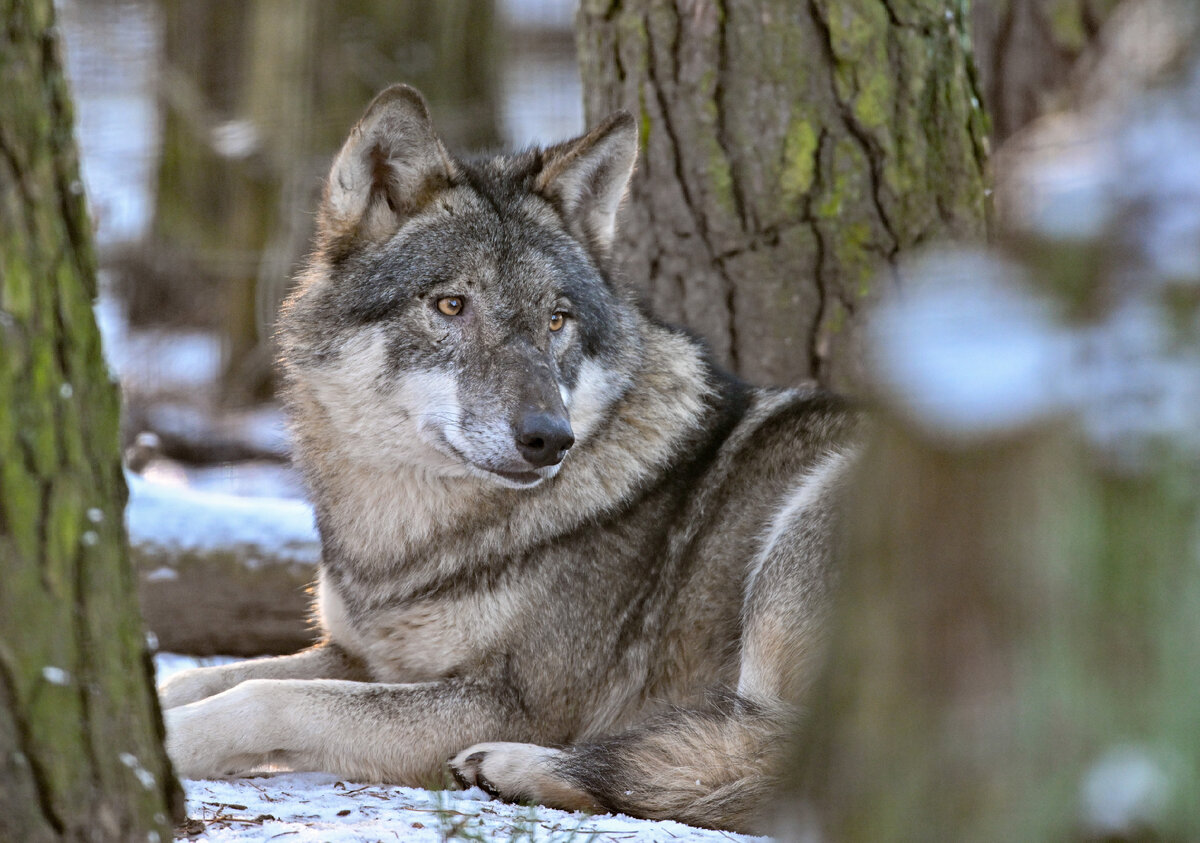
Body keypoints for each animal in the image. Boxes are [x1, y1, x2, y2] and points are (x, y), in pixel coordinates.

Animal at [159, 82, 859, 835]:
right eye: (451, 305)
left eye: (556, 319)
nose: (551, 437)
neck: (404, 543)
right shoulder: (362, 657)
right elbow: (196, 676)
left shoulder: (511, 699)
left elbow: (264, 695)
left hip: (808, 523)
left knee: (766, 755)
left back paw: (518, 766)